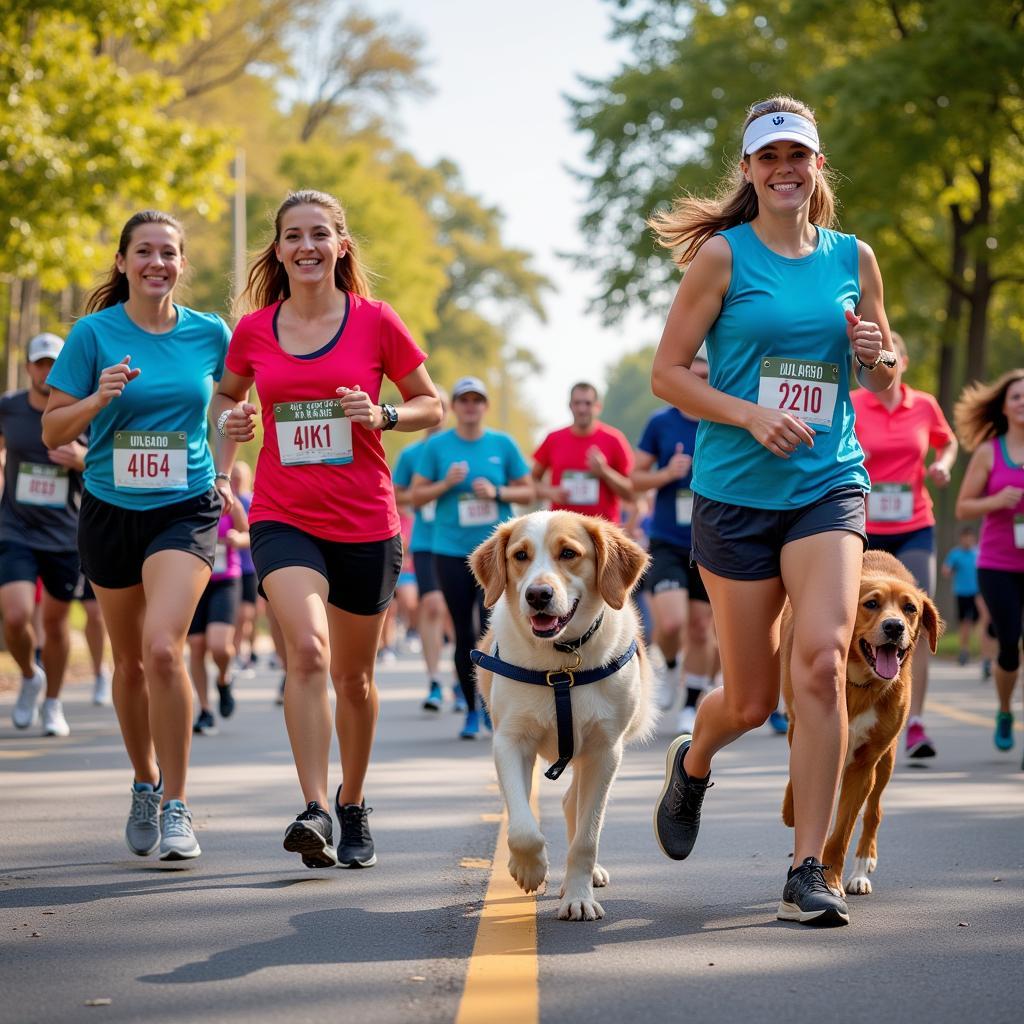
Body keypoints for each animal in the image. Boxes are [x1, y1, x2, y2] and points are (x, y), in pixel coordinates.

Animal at [468, 512, 651, 921]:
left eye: (568, 553)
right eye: (520, 555)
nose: (537, 595)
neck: (561, 663)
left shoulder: (605, 751)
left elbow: (587, 836)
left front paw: (579, 896)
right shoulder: (510, 740)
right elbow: (522, 826)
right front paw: (529, 867)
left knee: (575, 807)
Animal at [782, 552, 942, 897]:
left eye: (910, 608)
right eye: (871, 604)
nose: (894, 626)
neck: (857, 682)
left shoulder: (864, 764)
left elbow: (843, 830)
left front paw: (831, 881)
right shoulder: (800, 726)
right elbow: (802, 783)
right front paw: (792, 810)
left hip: (886, 760)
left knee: (873, 813)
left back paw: (860, 869)